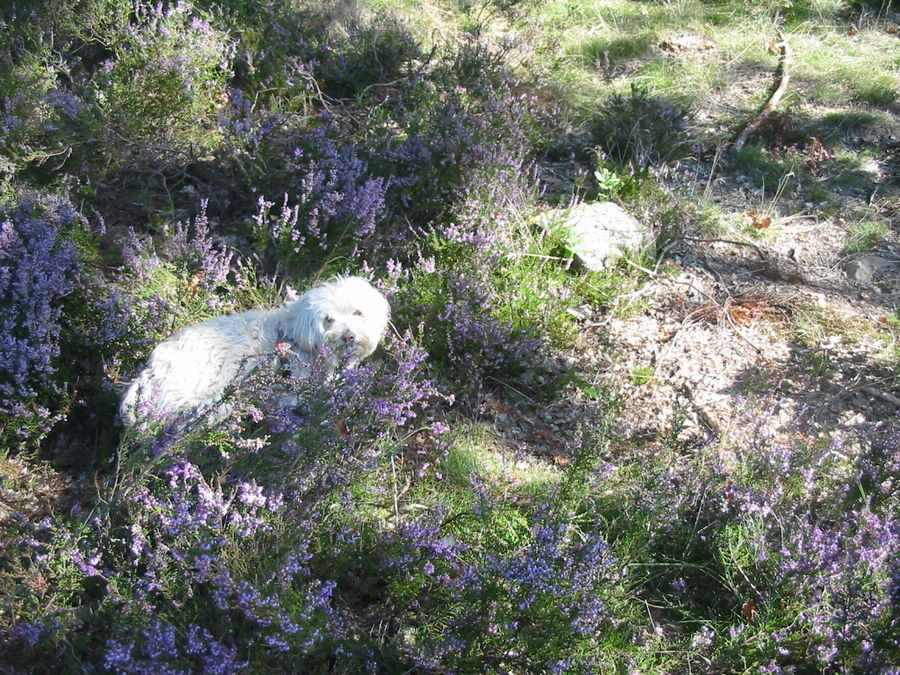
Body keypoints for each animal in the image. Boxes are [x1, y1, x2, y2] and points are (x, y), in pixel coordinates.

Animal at [118, 276, 386, 426]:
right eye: (328, 320)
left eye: (357, 312)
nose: (348, 336)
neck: (293, 337)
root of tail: (153, 370)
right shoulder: (290, 394)